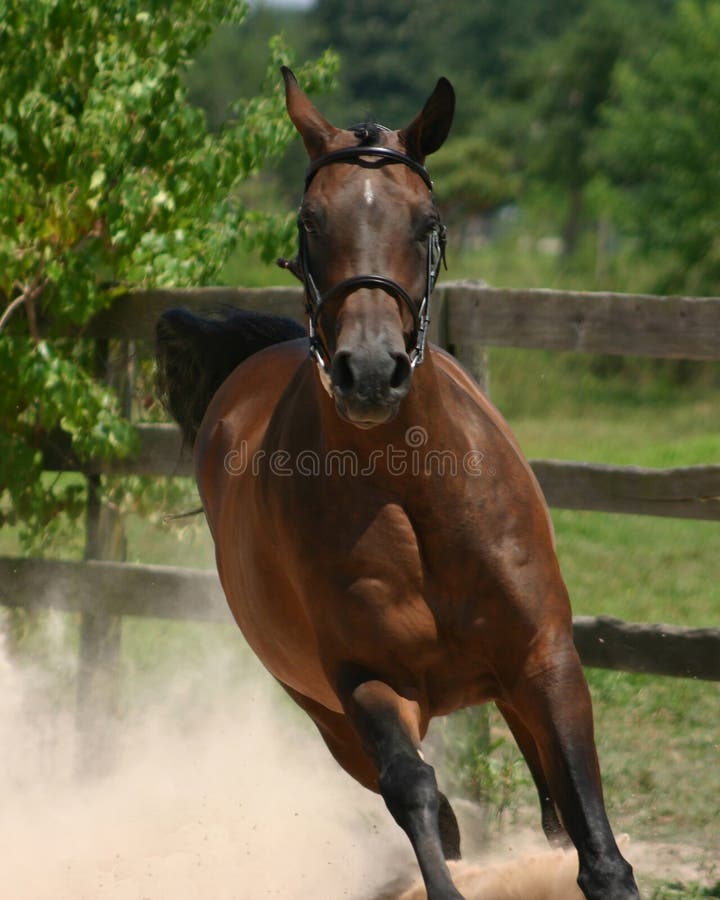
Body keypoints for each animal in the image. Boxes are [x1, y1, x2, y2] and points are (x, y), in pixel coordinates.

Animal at [155, 70, 640, 900]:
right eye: (311, 221)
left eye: (427, 221)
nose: (371, 371)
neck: (416, 498)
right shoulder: (364, 684)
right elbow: (414, 792)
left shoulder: (546, 659)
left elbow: (587, 818)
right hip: (321, 713)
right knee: (421, 798)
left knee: (543, 785)